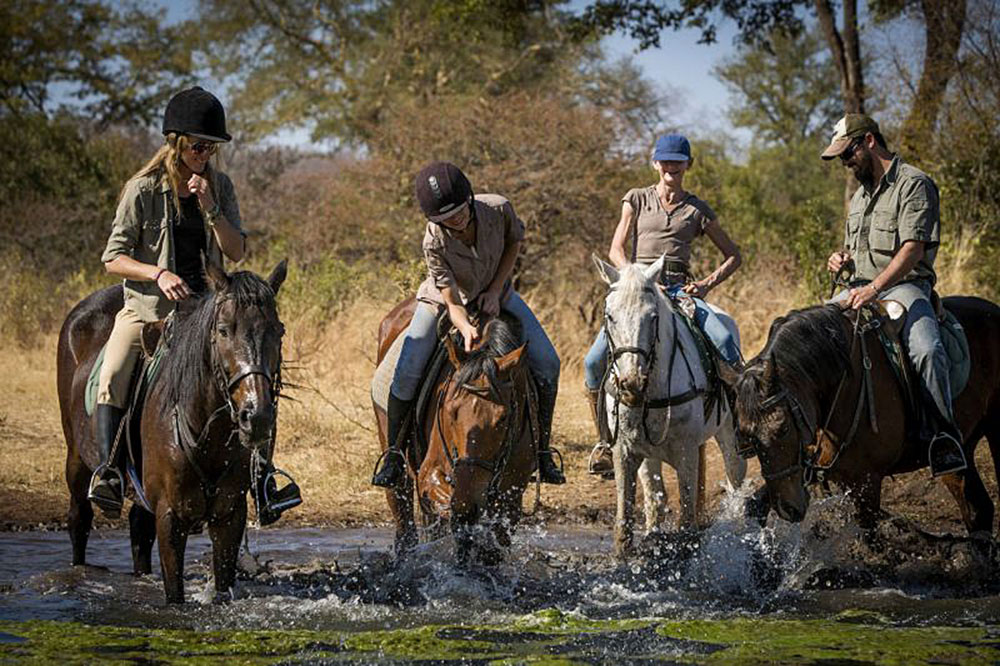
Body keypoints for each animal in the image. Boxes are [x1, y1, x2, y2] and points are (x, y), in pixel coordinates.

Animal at [57, 260, 287, 603]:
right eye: (223, 330)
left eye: (278, 331)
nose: (256, 416)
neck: (207, 433)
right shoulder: (170, 517)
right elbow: (174, 595)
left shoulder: (229, 516)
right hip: (76, 459)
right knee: (79, 520)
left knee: (138, 532)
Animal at [374, 298, 538, 564]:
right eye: (450, 412)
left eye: (503, 418)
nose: (465, 499)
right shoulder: (430, 475)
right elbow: (452, 514)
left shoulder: (511, 495)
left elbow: (491, 544)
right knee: (405, 524)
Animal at [594, 255, 747, 559]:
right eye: (610, 316)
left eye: (653, 317)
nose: (631, 383)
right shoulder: (625, 451)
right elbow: (626, 524)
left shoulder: (686, 452)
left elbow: (687, 523)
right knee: (656, 497)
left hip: (729, 438)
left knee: (735, 483)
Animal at [725, 297, 1000, 536]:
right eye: (748, 438)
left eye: (782, 429)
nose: (787, 509)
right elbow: (754, 507)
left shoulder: (865, 484)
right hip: (963, 451)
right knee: (977, 511)